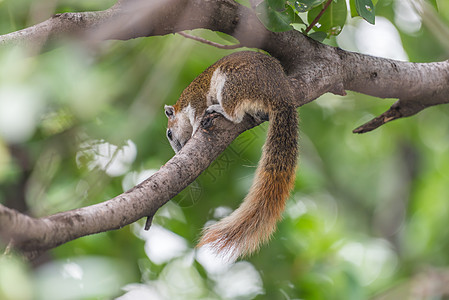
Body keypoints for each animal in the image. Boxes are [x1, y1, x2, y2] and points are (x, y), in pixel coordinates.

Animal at [164, 50, 298, 258]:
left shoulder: (195, 100)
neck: (181, 107)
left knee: (235, 114)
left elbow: (198, 115)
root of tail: (279, 91)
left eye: (169, 134)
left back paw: (219, 109)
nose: (179, 151)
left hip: (231, 84)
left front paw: (195, 130)